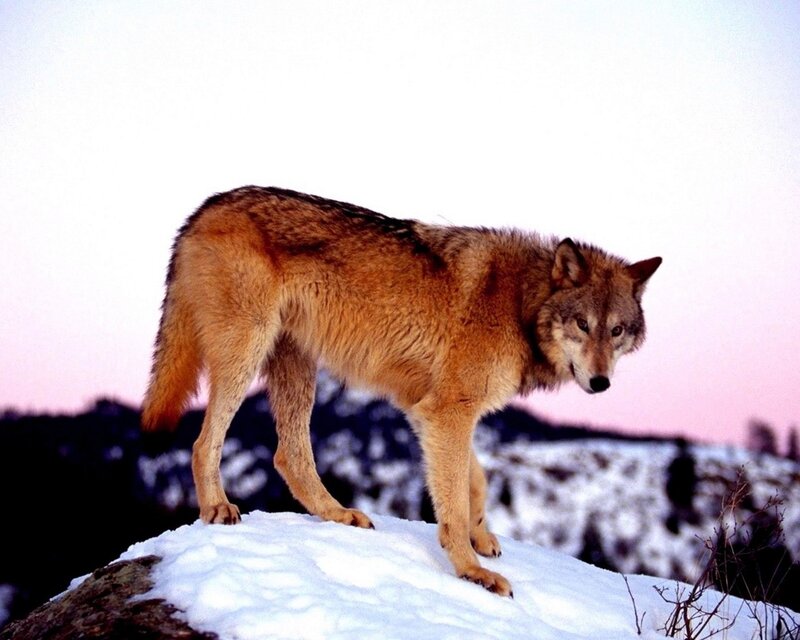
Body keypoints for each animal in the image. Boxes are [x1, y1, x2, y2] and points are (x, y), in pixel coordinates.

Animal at [142, 186, 661, 597]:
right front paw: (470, 570)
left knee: (288, 456)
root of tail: (206, 207)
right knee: (203, 442)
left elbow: (475, 481)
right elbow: (454, 499)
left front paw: (481, 539)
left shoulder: (428, 409)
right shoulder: (448, 412)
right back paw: (217, 508)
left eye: (616, 331)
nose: (600, 382)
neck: (520, 302)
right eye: (582, 324)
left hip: (296, 366)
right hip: (246, 353)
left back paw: (338, 515)